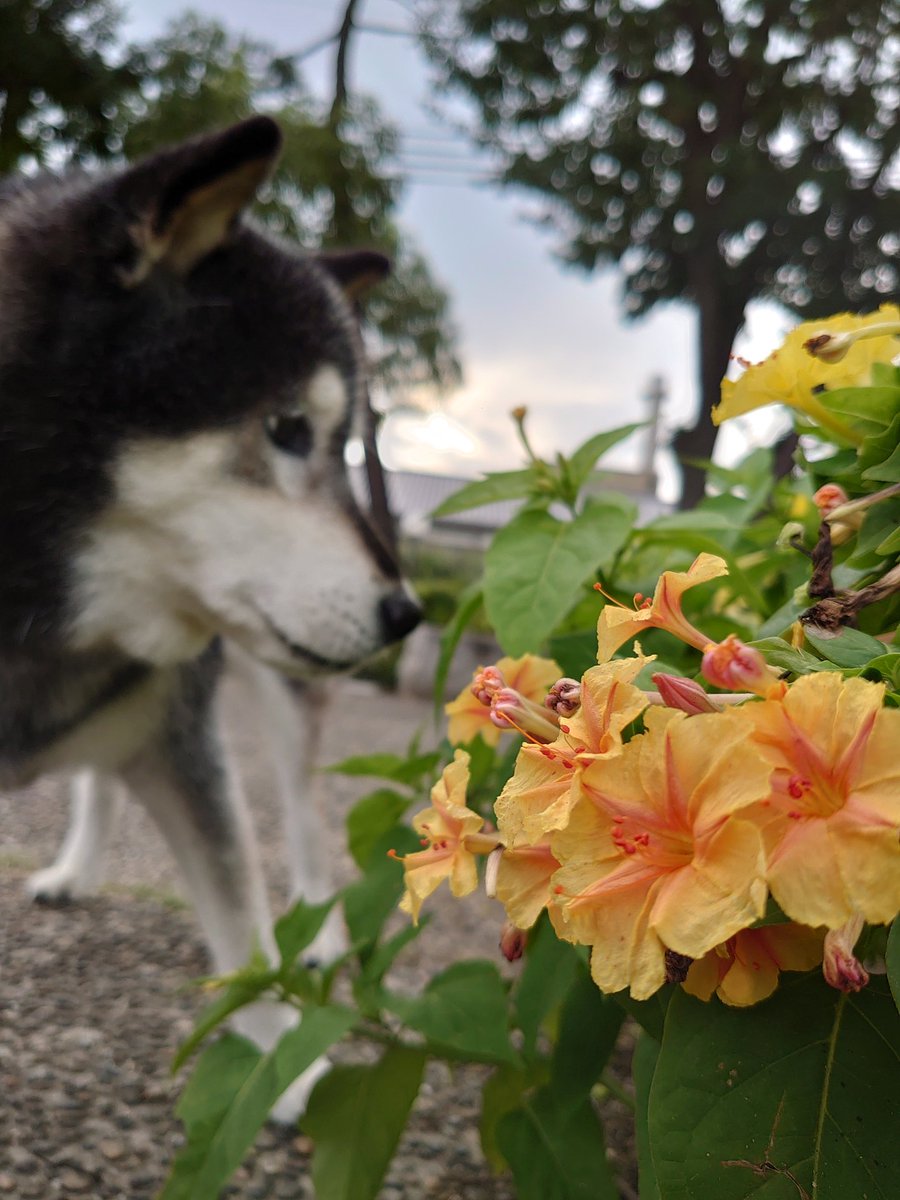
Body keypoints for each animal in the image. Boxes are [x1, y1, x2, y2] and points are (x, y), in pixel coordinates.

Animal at [0, 119, 422, 1113]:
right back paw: (77, 868)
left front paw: (285, 1067)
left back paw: (322, 930)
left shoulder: (184, 738)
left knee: (302, 813)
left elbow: (242, 923)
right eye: (286, 428)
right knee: (100, 774)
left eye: (344, 444)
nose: (408, 613)